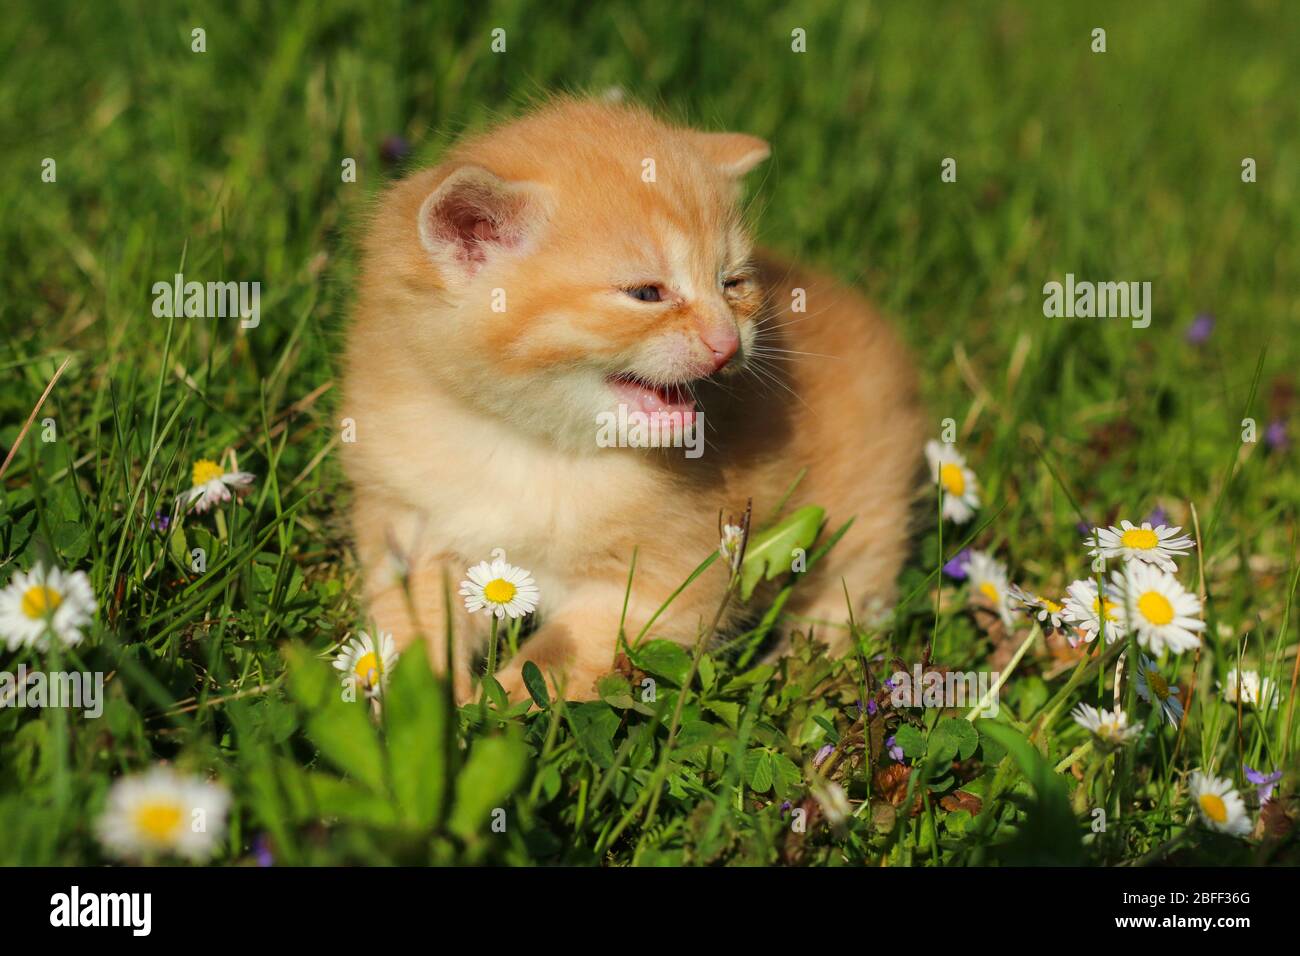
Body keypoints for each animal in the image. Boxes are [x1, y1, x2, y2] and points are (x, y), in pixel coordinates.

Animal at [338, 98, 925, 702]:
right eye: (647, 294)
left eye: (732, 283)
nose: (728, 343)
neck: (534, 446)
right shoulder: (410, 526)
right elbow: (411, 626)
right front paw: (421, 701)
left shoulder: (660, 585)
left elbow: (559, 659)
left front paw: (500, 707)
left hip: (870, 504)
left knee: (851, 593)